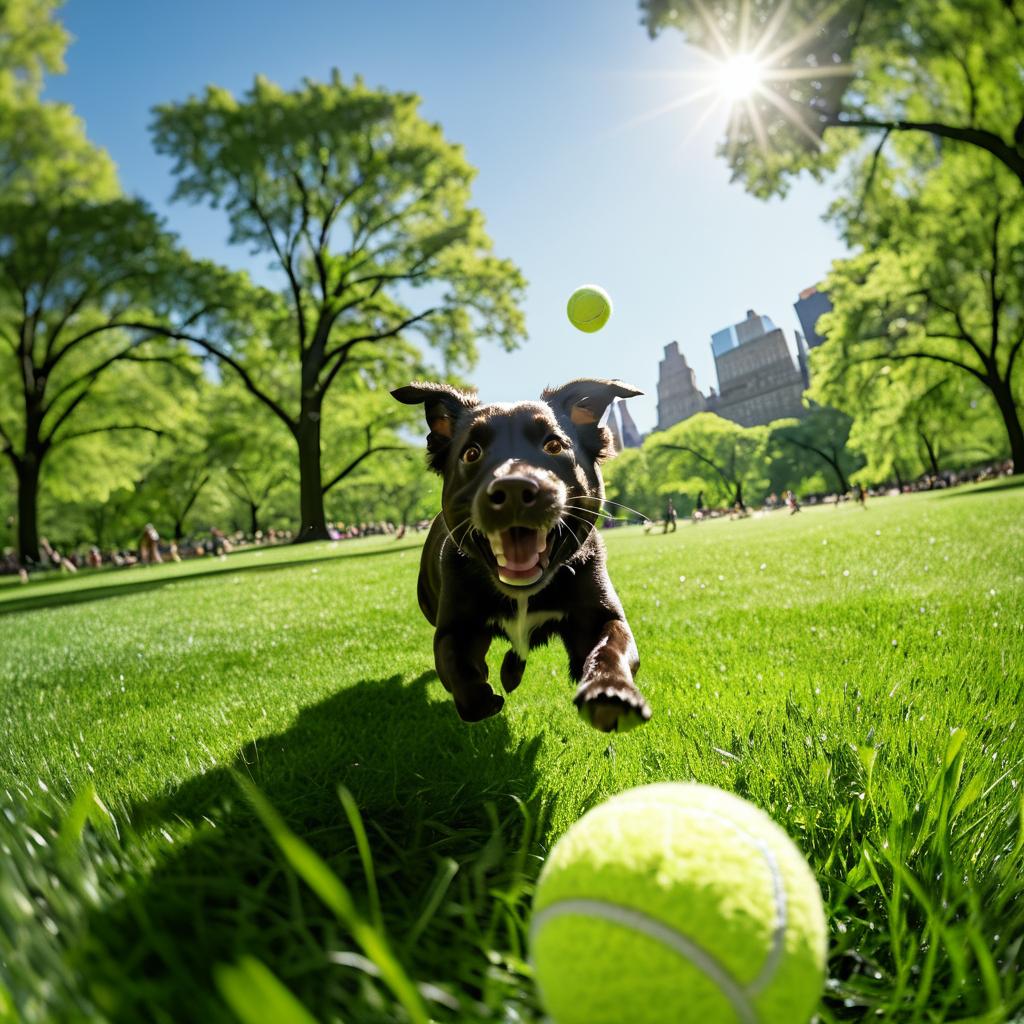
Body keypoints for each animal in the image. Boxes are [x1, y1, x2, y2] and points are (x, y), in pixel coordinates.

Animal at [387, 380, 651, 733]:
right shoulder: (453, 628)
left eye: (554, 446)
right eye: (471, 453)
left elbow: (611, 647)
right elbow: (459, 672)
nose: (513, 489)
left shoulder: (600, 615)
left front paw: (610, 692)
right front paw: (483, 693)